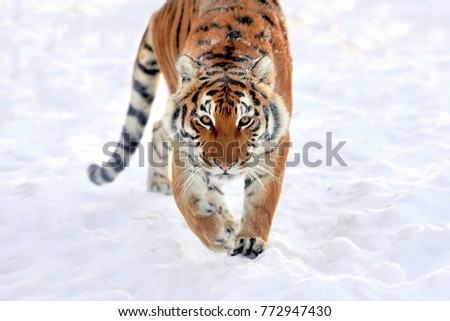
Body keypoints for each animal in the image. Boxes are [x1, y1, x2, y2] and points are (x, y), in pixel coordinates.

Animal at [88, 0, 292, 258]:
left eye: (245, 120)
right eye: (205, 120)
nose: (226, 165)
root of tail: (162, 9)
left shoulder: (276, 142)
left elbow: (262, 200)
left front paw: (249, 240)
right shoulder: (185, 152)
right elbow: (190, 205)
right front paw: (217, 235)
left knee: (158, 127)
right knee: (160, 129)